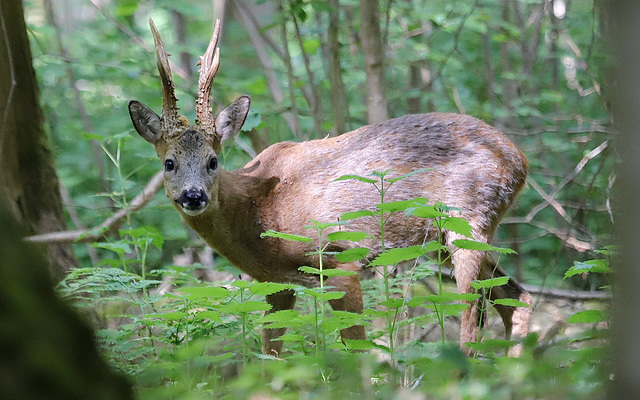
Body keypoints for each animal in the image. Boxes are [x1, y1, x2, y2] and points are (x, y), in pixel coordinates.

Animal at [129, 18, 528, 356]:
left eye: (213, 161)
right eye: (168, 163)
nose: (193, 196)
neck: (261, 210)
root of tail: (519, 159)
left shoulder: (340, 259)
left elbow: (358, 348)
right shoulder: (276, 283)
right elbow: (270, 354)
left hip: (469, 220)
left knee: (472, 316)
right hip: (446, 238)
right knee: (517, 300)